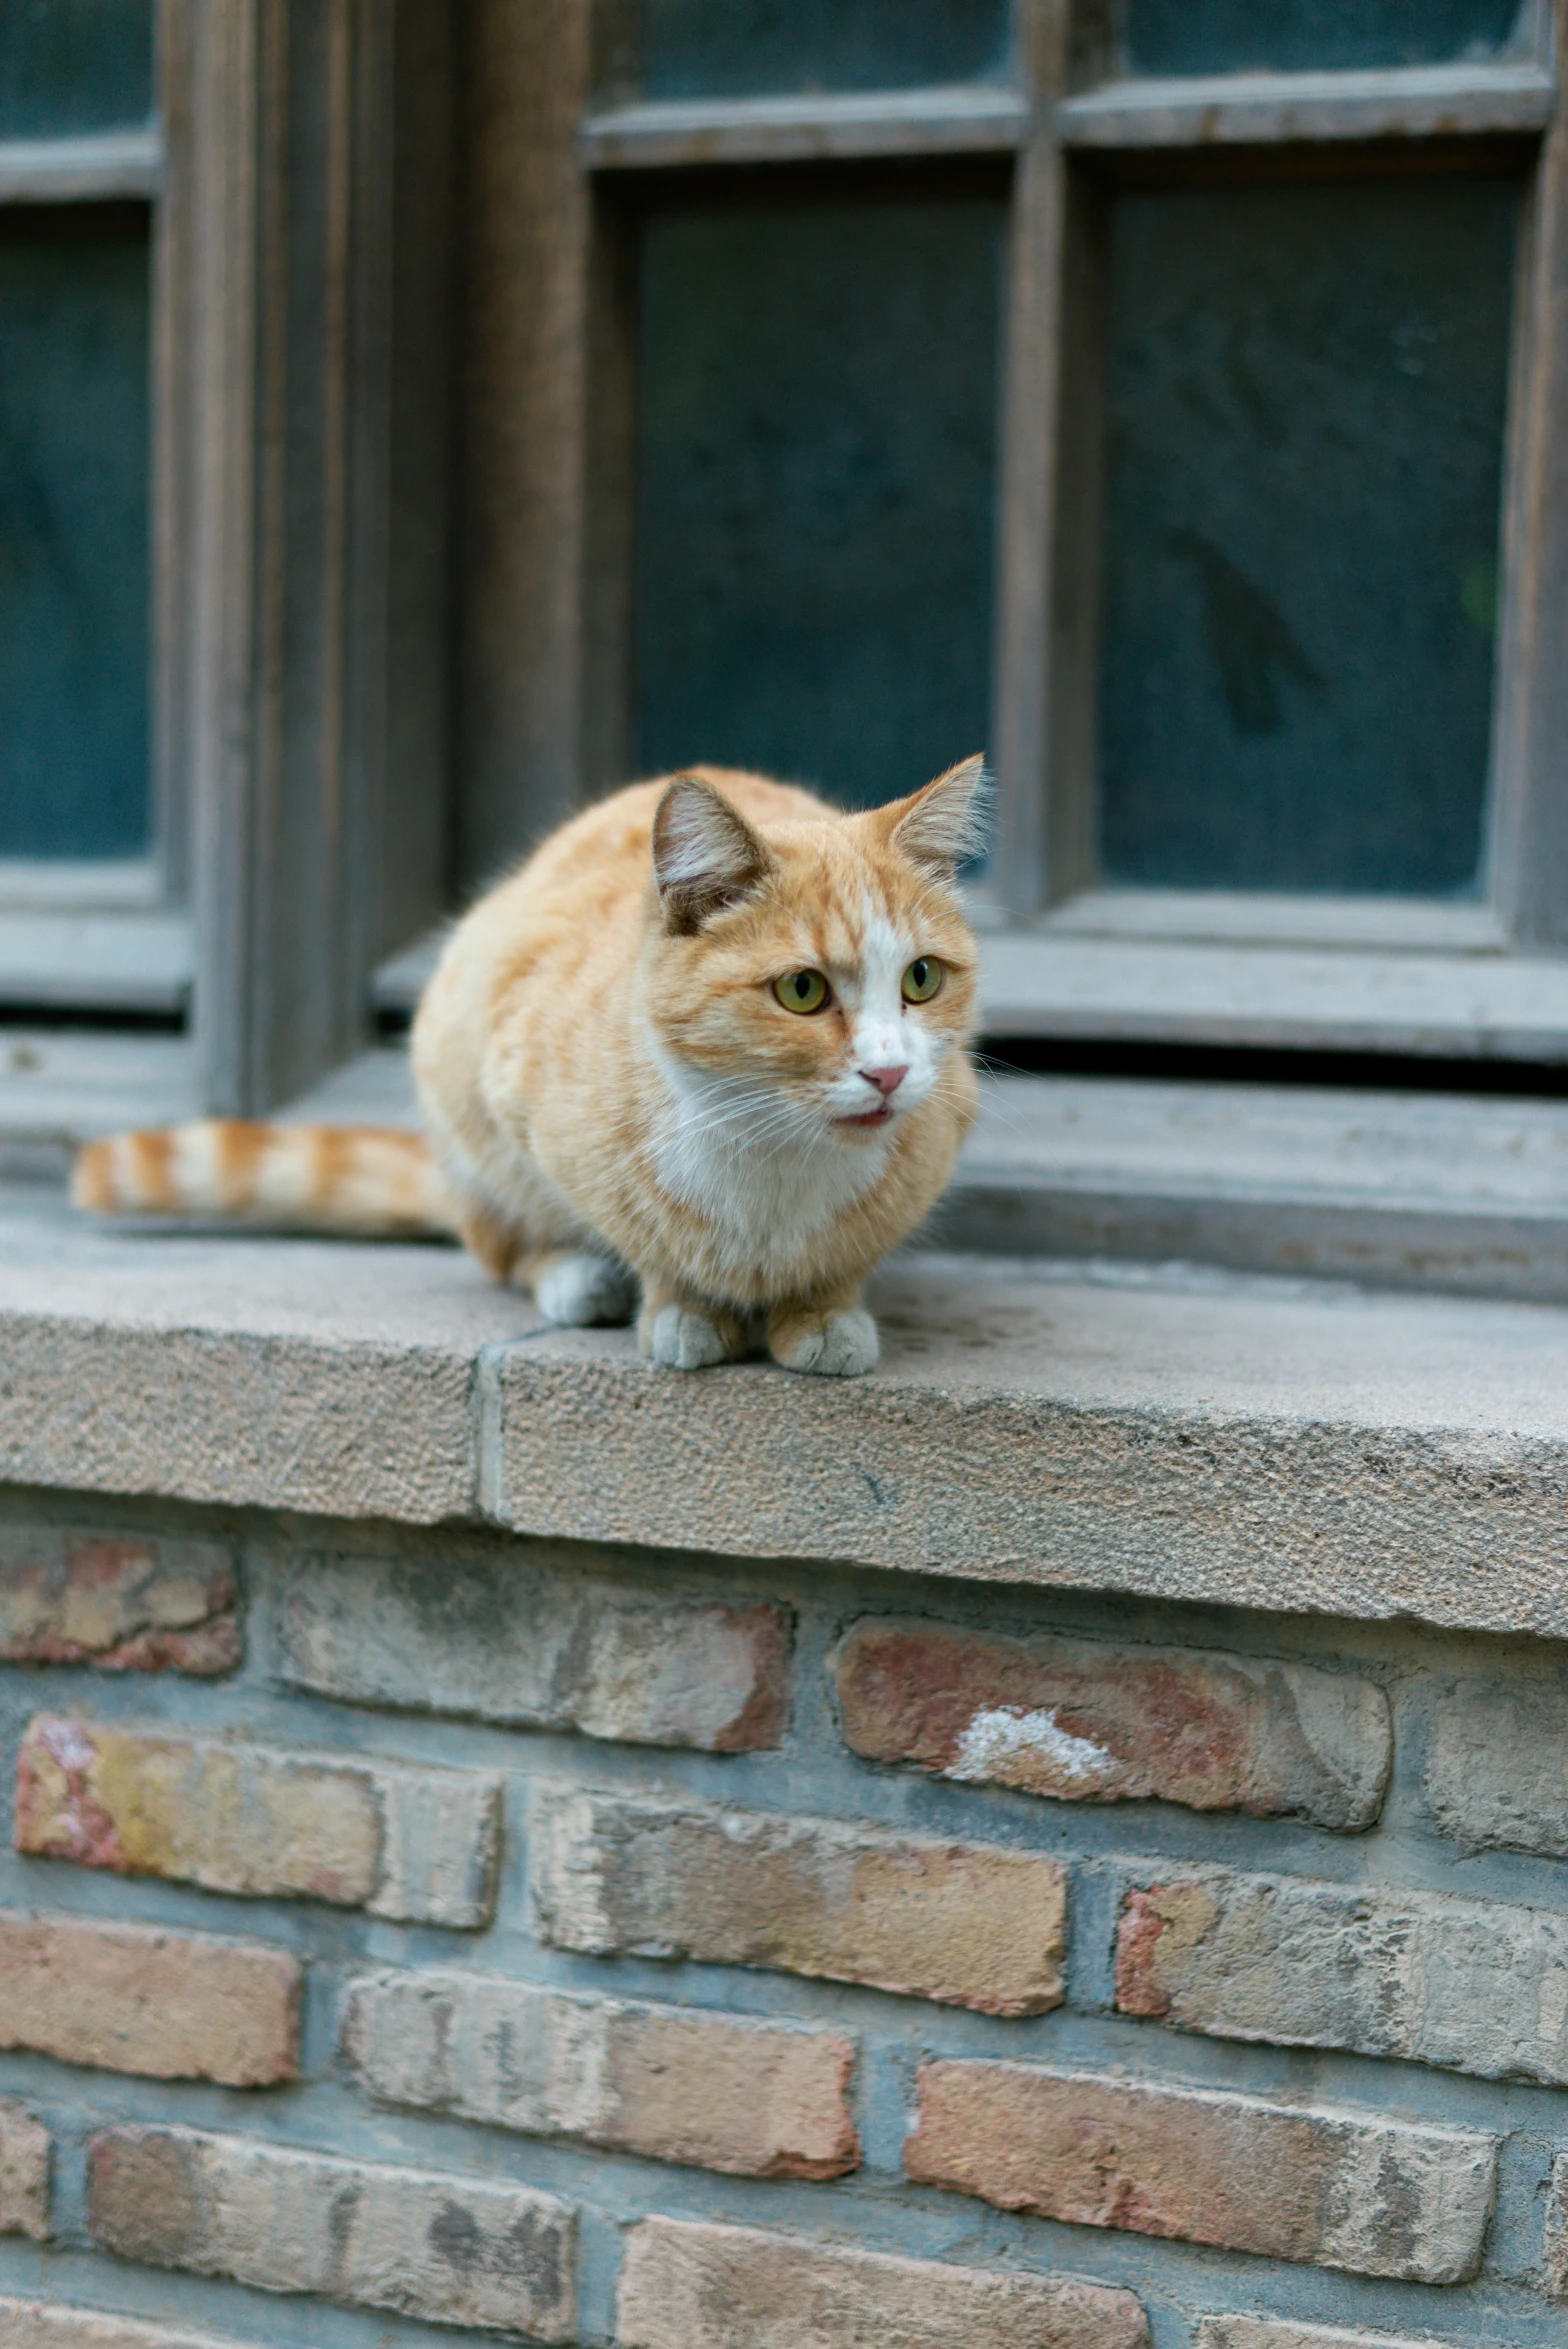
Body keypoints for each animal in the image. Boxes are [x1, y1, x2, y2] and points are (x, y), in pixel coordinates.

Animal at [76, 751, 981, 1371]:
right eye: (802, 990)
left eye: (921, 979)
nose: (890, 1072)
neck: (776, 1159)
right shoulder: (522, 1096)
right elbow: (648, 1244)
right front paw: (679, 1306)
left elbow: (842, 1262)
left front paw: (822, 1310)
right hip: (462, 1091)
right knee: (499, 1243)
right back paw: (576, 1276)